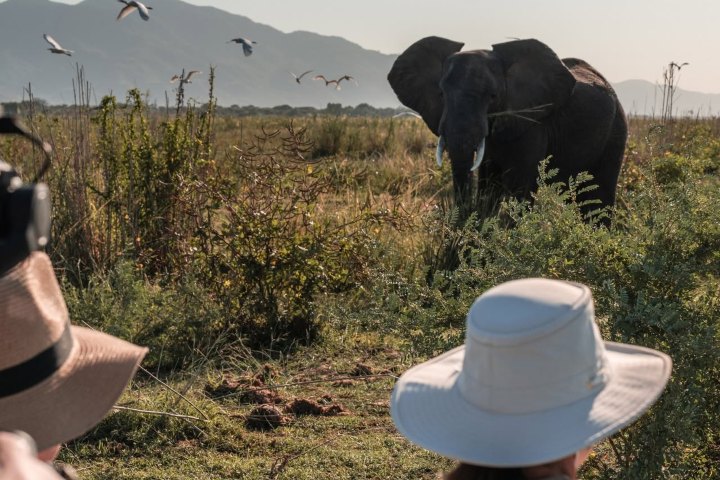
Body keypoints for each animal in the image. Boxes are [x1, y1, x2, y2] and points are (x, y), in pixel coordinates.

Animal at [388, 37, 627, 222]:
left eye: (493, 96)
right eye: (441, 94)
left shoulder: (532, 123)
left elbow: (520, 186)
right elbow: (488, 183)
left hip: (616, 131)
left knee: (600, 197)